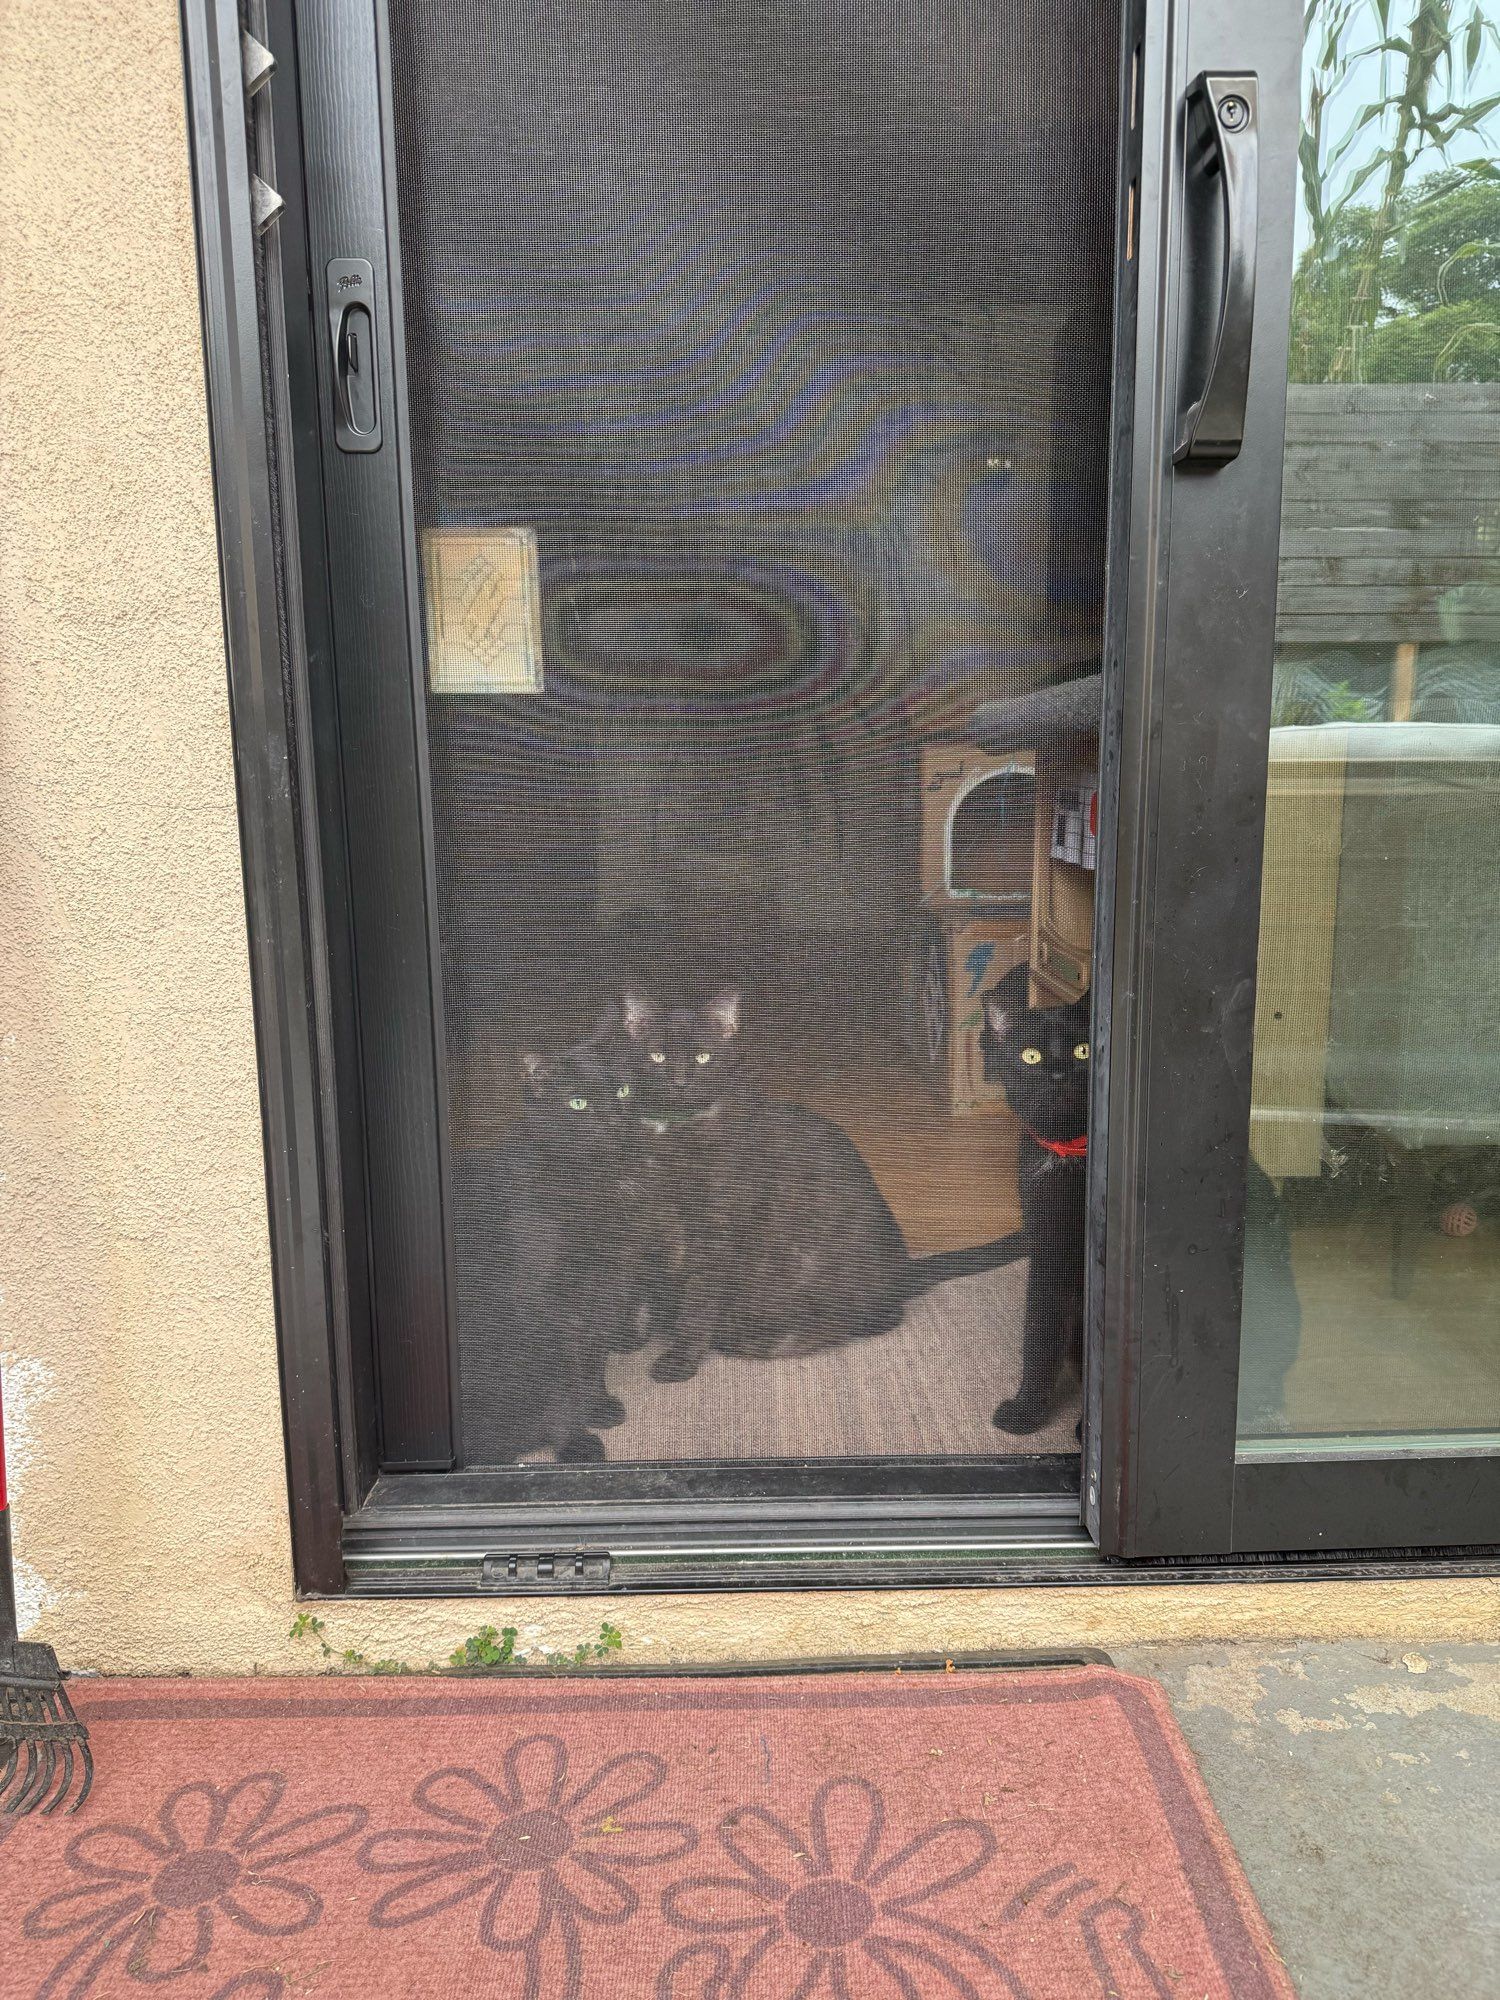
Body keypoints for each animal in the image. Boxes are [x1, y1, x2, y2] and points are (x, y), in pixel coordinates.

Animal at [464, 1040, 640, 1464]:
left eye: (623, 1091)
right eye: (578, 1103)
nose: (614, 1119)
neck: (591, 1184)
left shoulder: (609, 1288)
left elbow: (592, 1361)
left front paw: (597, 1406)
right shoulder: (546, 1306)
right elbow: (563, 1382)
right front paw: (574, 1443)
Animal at [612, 980, 1024, 1376]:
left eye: (703, 1057)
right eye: (657, 1056)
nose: (680, 1081)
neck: (671, 1132)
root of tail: (903, 1269)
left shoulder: (716, 1232)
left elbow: (697, 1301)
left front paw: (680, 1359)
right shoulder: (639, 1219)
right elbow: (639, 1285)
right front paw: (630, 1336)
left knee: (878, 1319)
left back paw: (764, 1339)